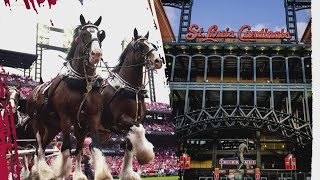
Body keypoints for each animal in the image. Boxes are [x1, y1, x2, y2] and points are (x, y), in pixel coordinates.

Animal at [25, 14, 112, 180]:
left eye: (100, 35)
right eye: (84, 34)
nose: (96, 54)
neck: (83, 83)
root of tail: (35, 90)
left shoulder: (89, 119)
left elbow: (86, 148)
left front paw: (87, 174)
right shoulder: (66, 117)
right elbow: (66, 148)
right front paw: (59, 173)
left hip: (53, 126)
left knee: (44, 145)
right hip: (37, 122)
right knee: (39, 146)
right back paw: (41, 171)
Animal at [97, 28, 162, 179]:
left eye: (153, 45)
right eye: (139, 45)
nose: (158, 60)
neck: (131, 90)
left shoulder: (129, 125)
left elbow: (130, 146)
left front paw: (127, 174)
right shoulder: (121, 120)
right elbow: (140, 129)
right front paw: (145, 155)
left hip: (102, 133)